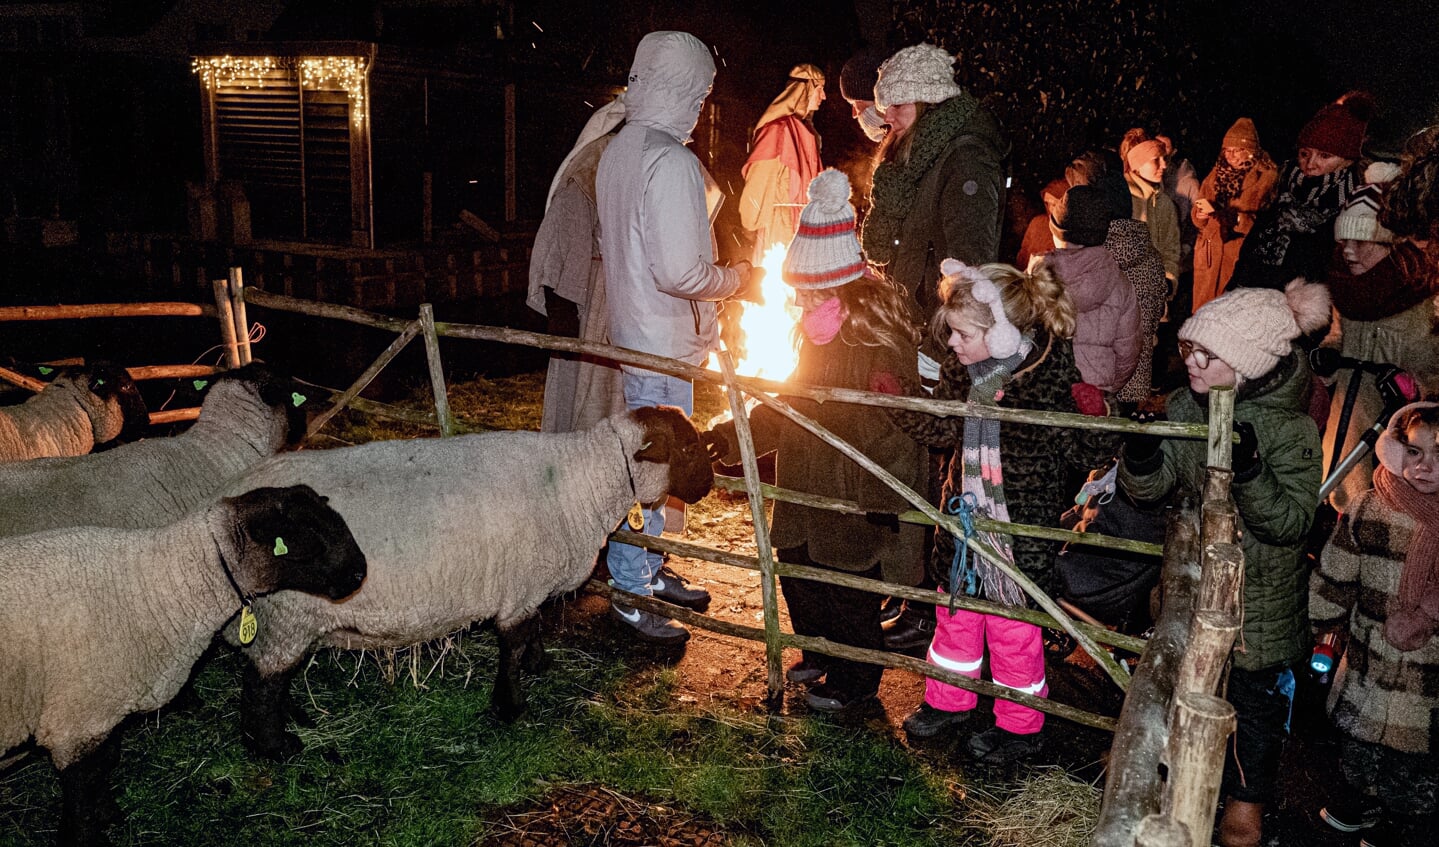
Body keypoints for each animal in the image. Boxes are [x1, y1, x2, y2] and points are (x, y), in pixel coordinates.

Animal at [0, 483, 368, 845]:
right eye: (309, 543)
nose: (360, 572)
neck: (155, 586)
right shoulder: (76, 719)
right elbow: (82, 792)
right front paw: (88, 834)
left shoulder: (104, 709)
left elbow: (103, 766)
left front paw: (109, 814)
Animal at [220, 405, 713, 759]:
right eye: (688, 449)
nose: (709, 485)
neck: (582, 482)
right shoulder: (519, 586)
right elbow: (512, 643)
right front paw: (510, 705)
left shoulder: (526, 584)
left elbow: (534, 627)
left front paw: (539, 664)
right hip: (287, 614)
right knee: (263, 682)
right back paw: (274, 748)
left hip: (282, 620)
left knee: (267, 672)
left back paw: (293, 717)